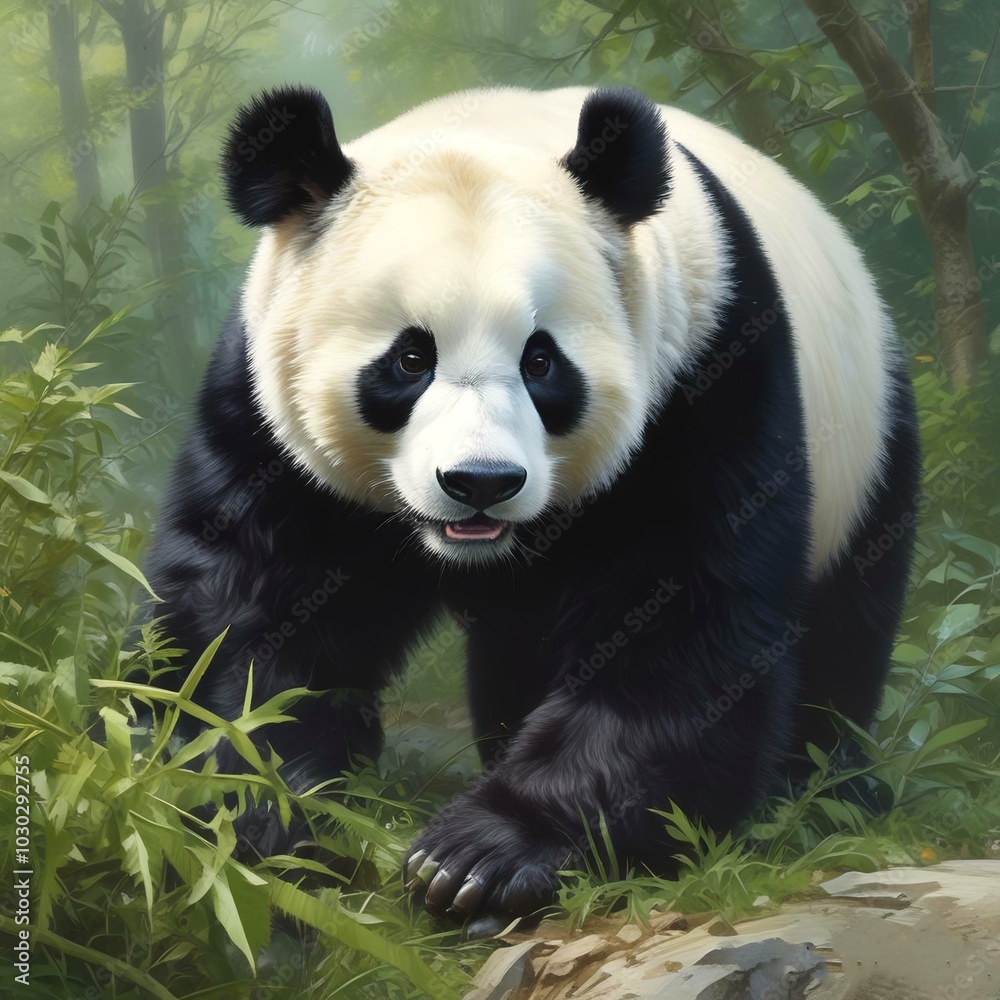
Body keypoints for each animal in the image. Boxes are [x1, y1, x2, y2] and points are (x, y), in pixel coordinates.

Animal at [147, 83, 920, 926]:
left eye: (542, 360)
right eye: (410, 358)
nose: (480, 481)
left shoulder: (704, 377)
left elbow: (681, 620)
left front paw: (480, 857)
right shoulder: (265, 408)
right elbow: (251, 608)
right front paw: (261, 805)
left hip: (868, 445)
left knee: (845, 632)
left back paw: (826, 790)